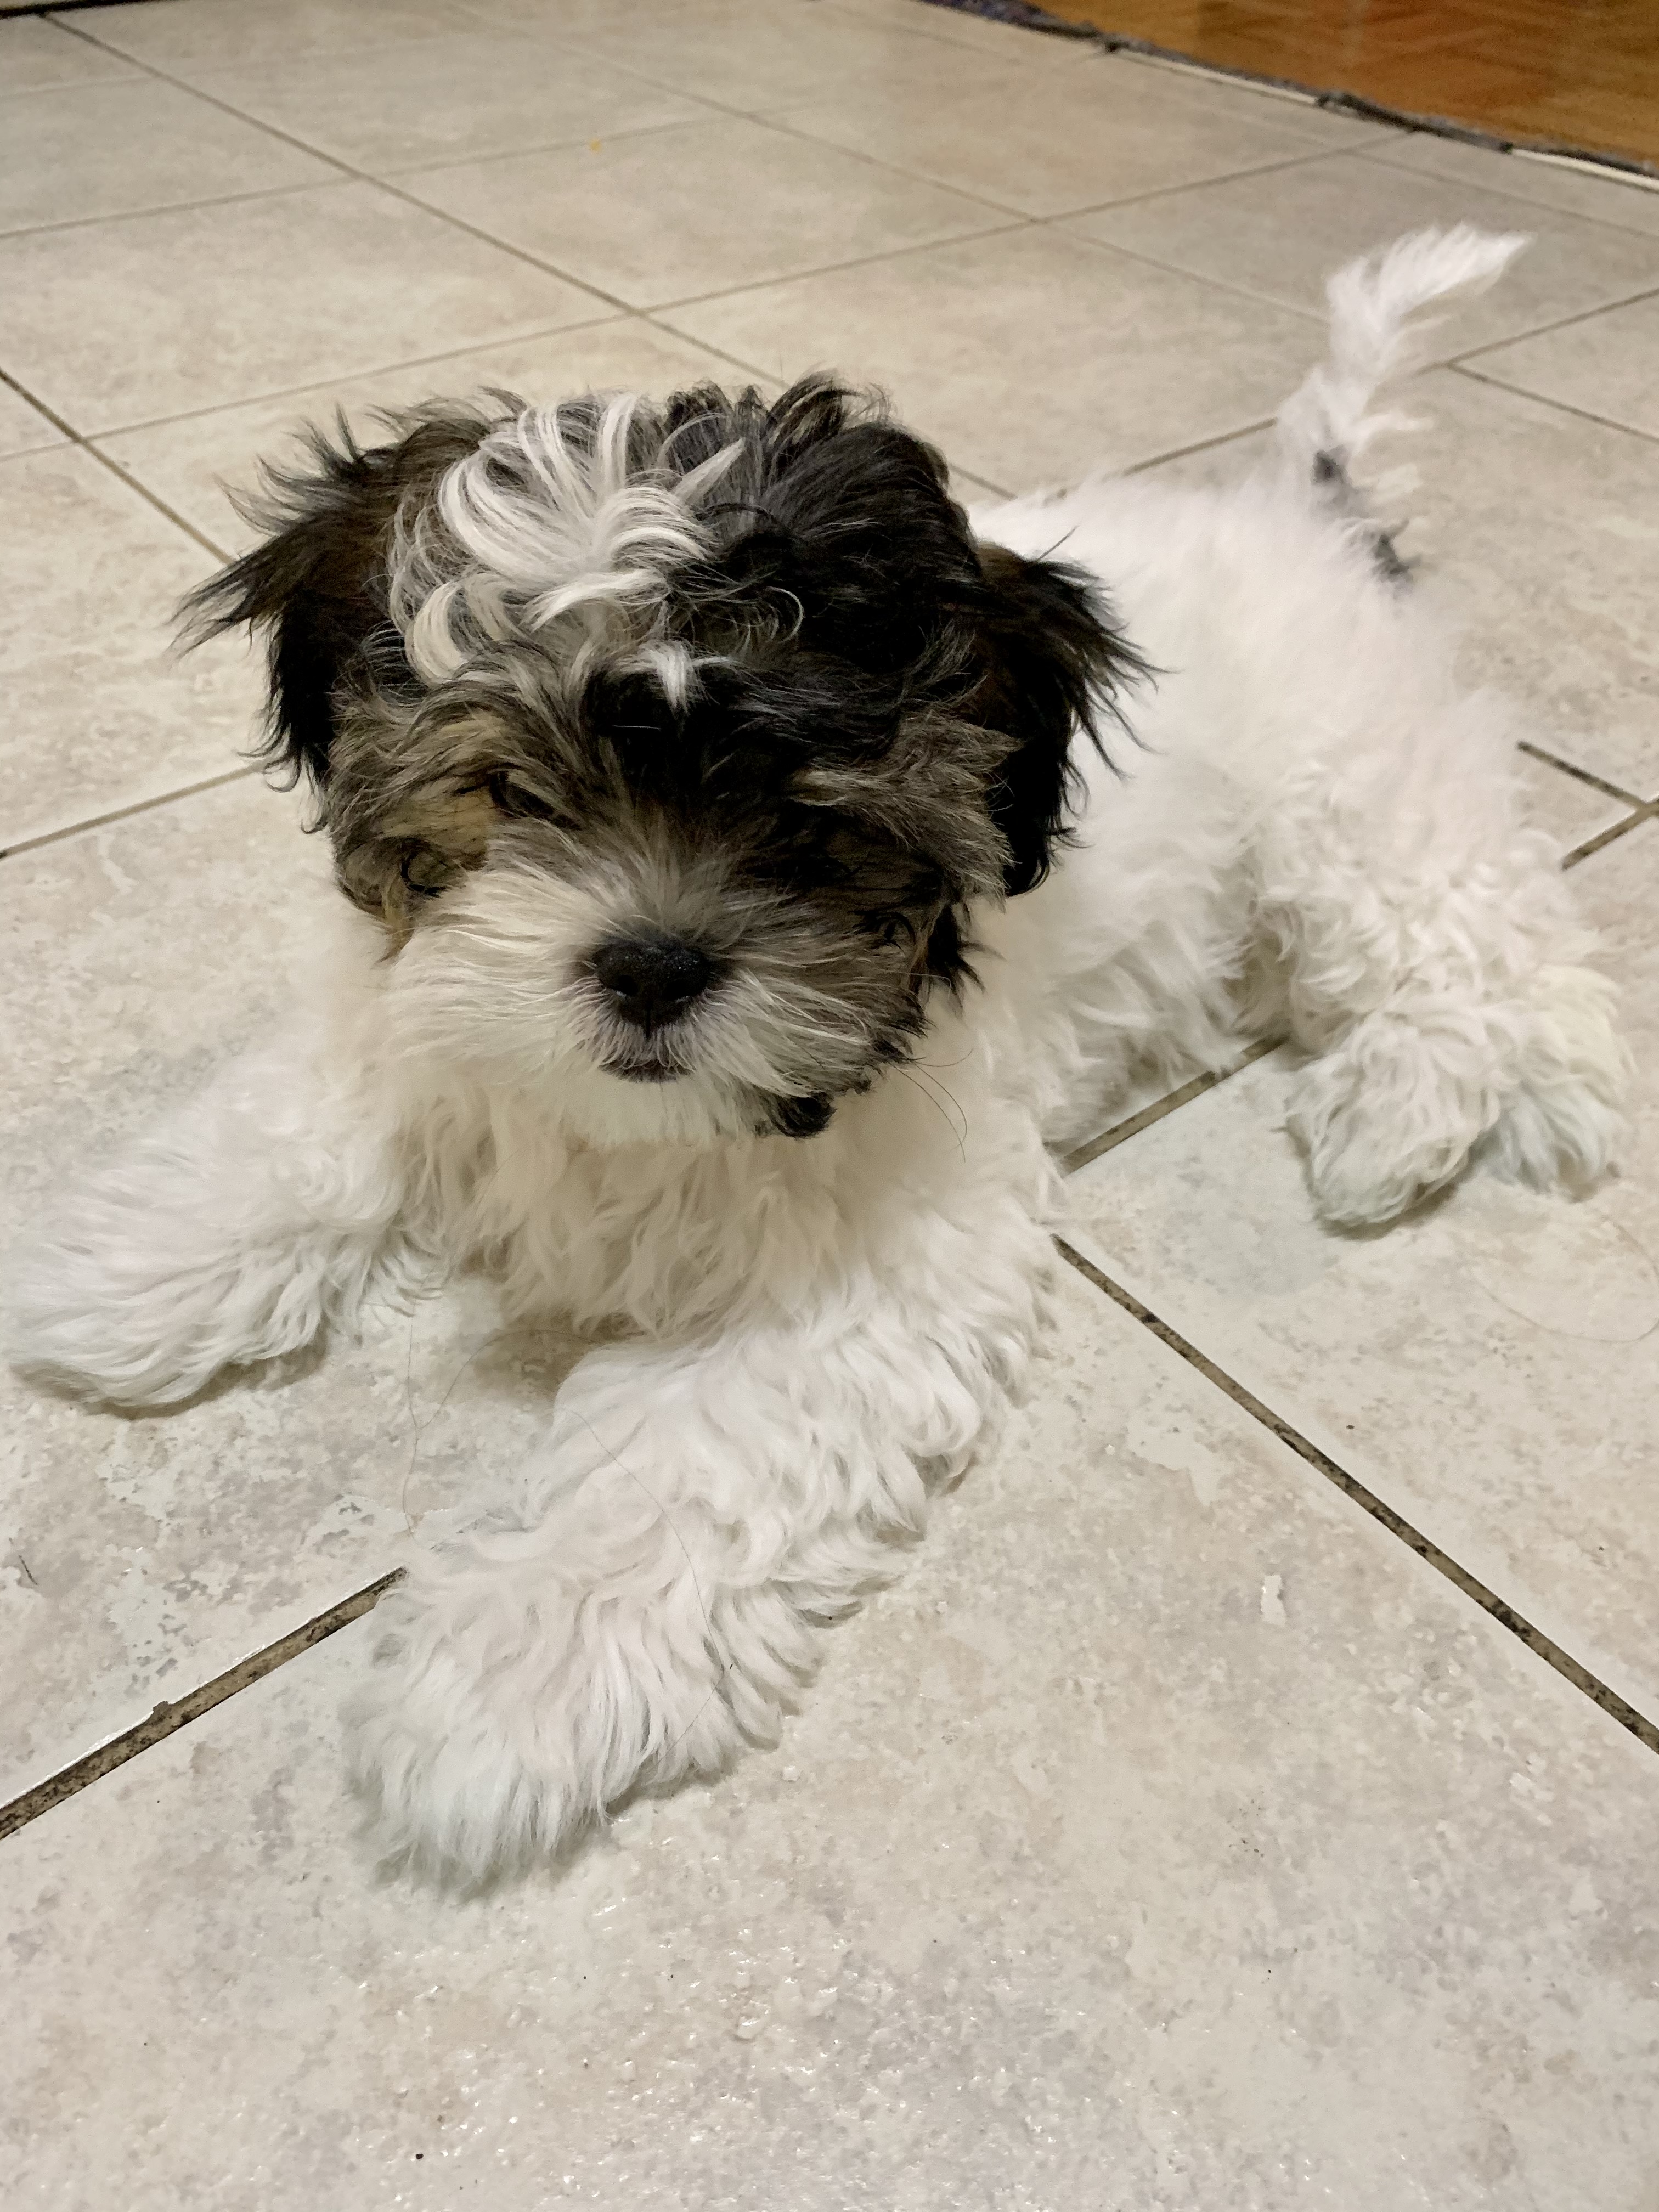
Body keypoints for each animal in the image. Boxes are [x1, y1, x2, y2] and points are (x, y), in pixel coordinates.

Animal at [9, 226, 1627, 1882]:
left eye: (805, 822)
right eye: (512, 789)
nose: (652, 963)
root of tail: (1312, 516)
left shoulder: (876, 1260)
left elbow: (688, 1461)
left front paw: (508, 1684)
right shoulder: (425, 1013)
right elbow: (329, 1117)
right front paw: (126, 1276)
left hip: (1355, 793)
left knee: (1488, 932)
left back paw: (1415, 1116)